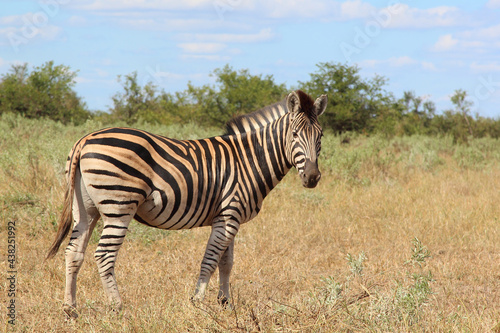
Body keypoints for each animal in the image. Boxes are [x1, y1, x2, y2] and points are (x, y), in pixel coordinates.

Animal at [47, 88, 328, 316]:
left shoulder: (230, 216)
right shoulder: (229, 215)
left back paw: (70, 308)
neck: (250, 159)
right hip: (119, 205)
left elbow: (226, 263)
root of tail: (85, 139)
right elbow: (210, 260)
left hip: (85, 209)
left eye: (321, 136)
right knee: (104, 254)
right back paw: (117, 307)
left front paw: (225, 303)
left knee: (74, 252)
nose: (313, 177)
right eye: (294, 134)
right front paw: (198, 302)